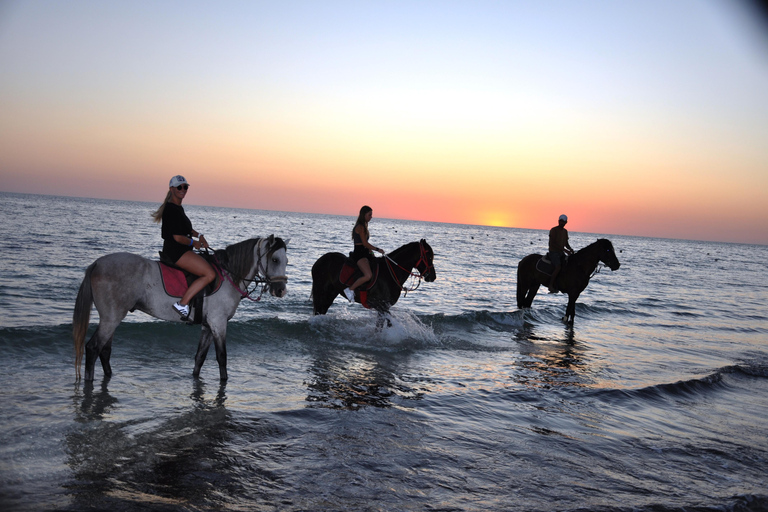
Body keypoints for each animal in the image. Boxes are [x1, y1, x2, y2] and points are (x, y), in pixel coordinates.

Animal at [74, 236, 288, 380]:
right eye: (275, 259)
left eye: (286, 261)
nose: (280, 290)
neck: (229, 275)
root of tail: (97, 263)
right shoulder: (218, 324)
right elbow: (222, 357)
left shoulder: (208, 326)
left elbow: (200, 357)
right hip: (111, 318)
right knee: (93, 348)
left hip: (112, 318)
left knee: (104, 351)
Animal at [308, 240, 436, 328]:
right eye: (429, 257)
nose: (433, 277)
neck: (389, 272)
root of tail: (319, 261)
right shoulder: (381, 306)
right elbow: (388, 323)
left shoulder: (383, 308)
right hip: (321, 291)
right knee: (318, 311)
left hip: (330, 294)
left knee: (321, 311)